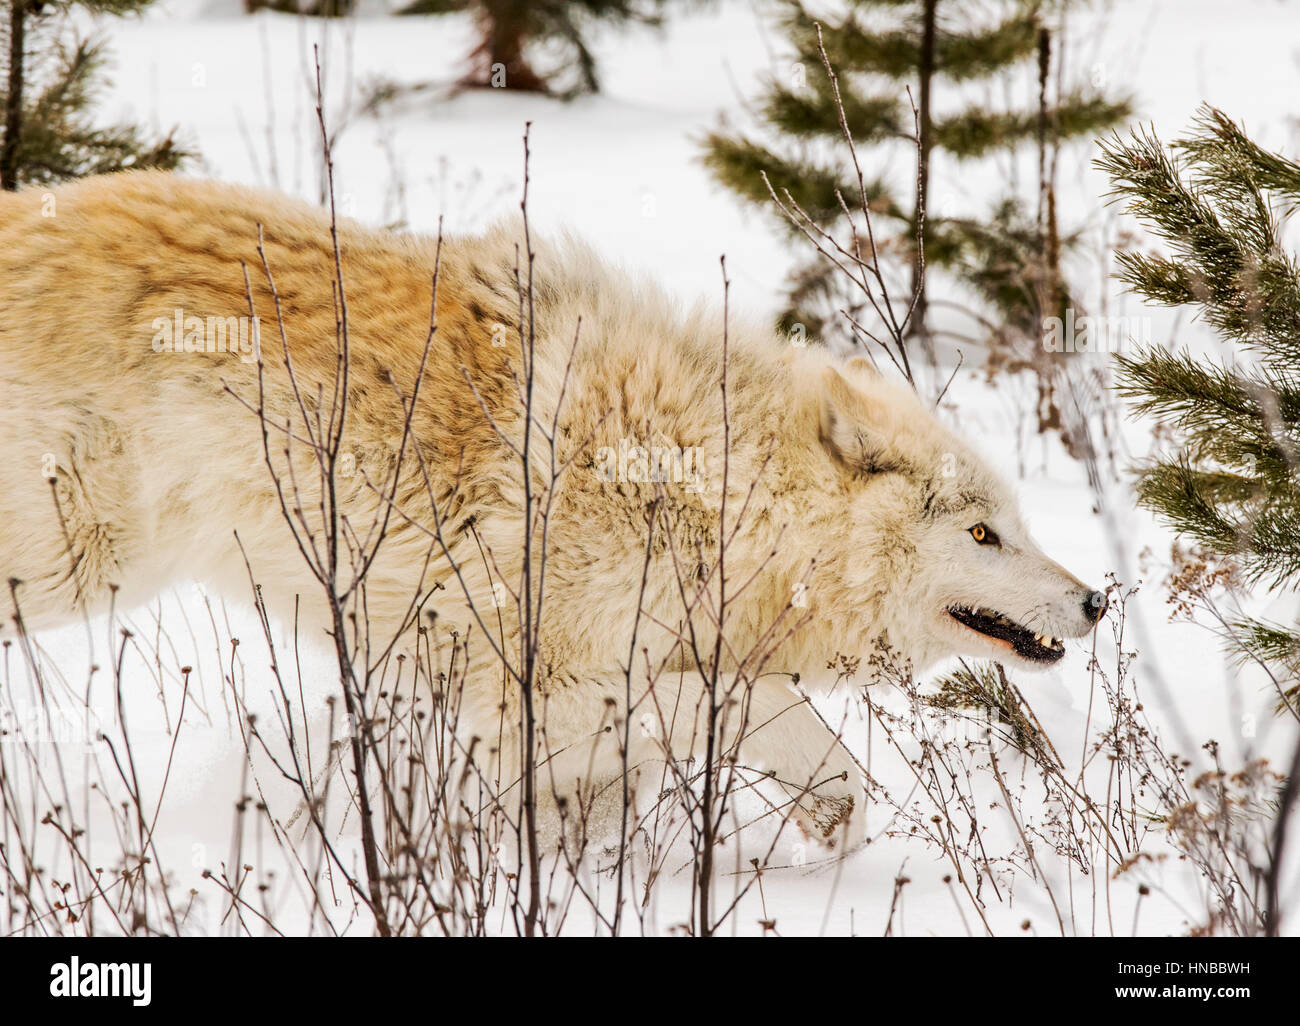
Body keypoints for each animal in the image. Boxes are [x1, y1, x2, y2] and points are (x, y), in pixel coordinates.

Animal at [0, 172, 1106, 847]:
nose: (1097, 601)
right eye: (982, 534)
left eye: (1015, 525)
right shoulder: (542, 686)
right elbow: (736, 706)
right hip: (73, 564)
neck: (710, 493)